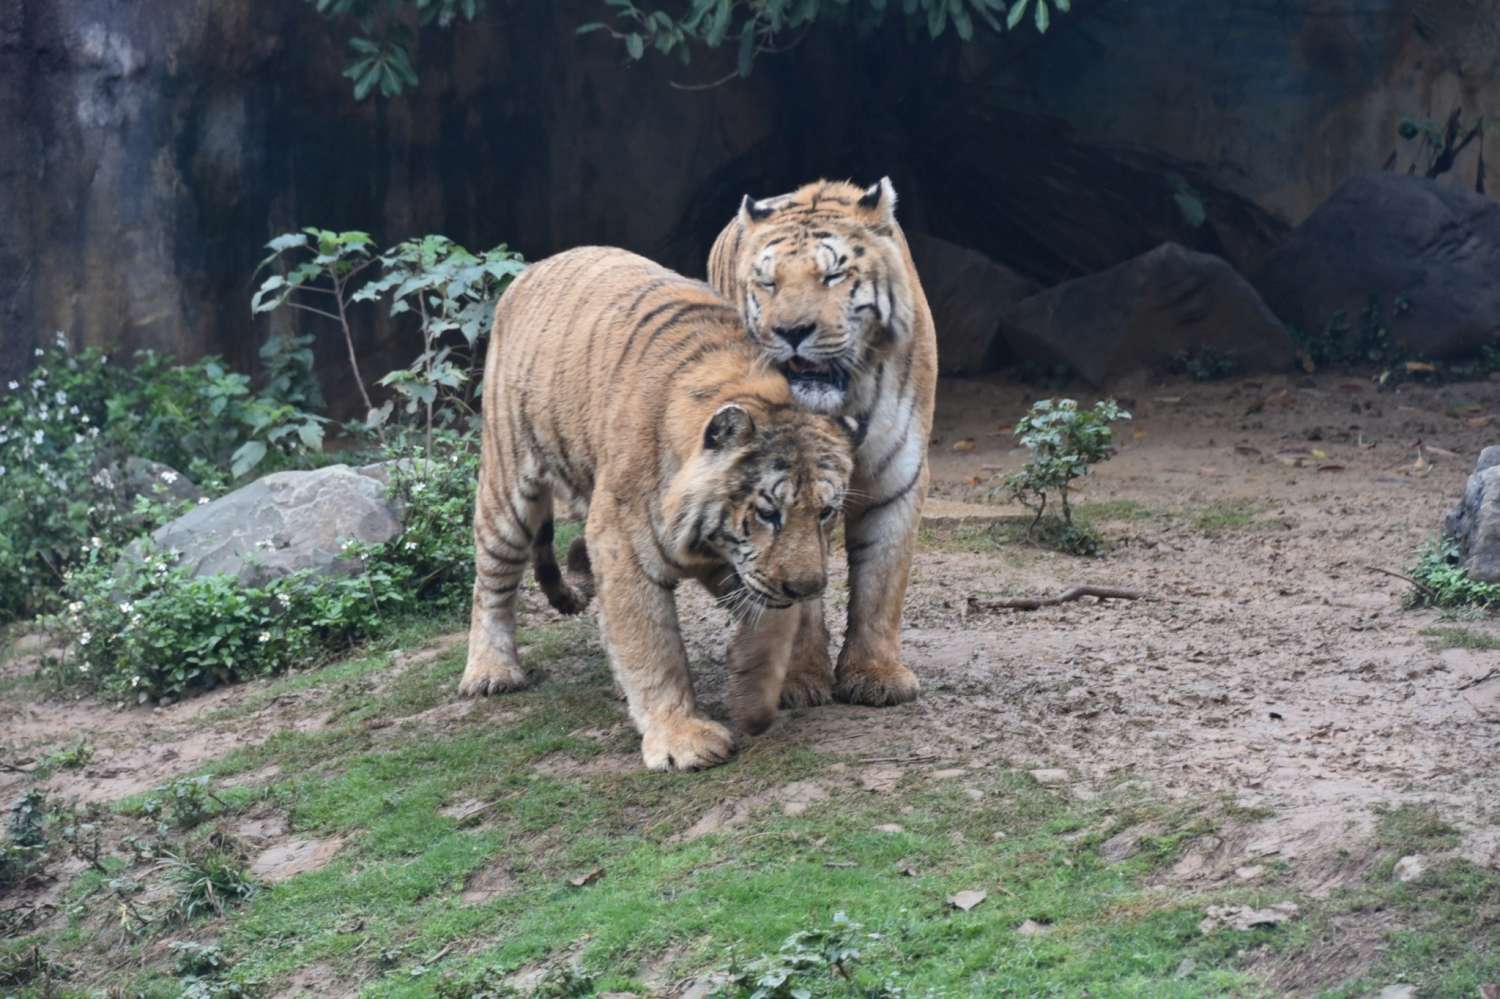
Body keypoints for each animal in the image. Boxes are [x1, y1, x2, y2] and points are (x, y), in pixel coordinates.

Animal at [456, 243, 858, 768]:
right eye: (769, 513)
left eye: (825, 512)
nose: (809, 587)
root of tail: (534, 267)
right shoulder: (622, 547)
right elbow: (652, 646)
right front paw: (681, 739)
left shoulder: (751, 570)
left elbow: (773, 624)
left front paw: (753, 696)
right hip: (507, 489)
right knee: (491, 584)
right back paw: (490, 672)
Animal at [705, 177, 936, 708]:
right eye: (768, 283)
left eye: (832, 275)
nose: (791, 331)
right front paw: (797, 679)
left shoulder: (897, 475)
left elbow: (882, 581)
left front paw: (876, 675)